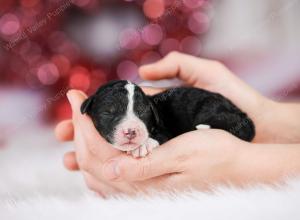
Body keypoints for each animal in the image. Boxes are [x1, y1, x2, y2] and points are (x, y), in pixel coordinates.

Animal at [81, 80, 254, 157]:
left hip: (211, 107)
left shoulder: (165, 128)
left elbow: (160, 135)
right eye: (108, 112)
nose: (131, 131)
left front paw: (143, 145)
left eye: (142, 112)